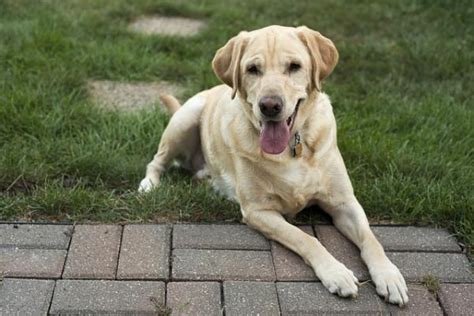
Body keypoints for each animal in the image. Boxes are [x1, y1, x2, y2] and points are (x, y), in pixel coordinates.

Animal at [137, 25, 408, 306]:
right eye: (253, 69)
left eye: (294, 66)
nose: (269, 105)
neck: (292, 148)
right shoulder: (258, 211)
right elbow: (306, 238)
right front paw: (336, 273)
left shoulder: (344, 202)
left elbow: (371, 239)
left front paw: (389, 276)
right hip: (185, 119)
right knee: (156, 161)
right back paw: (149, 185)